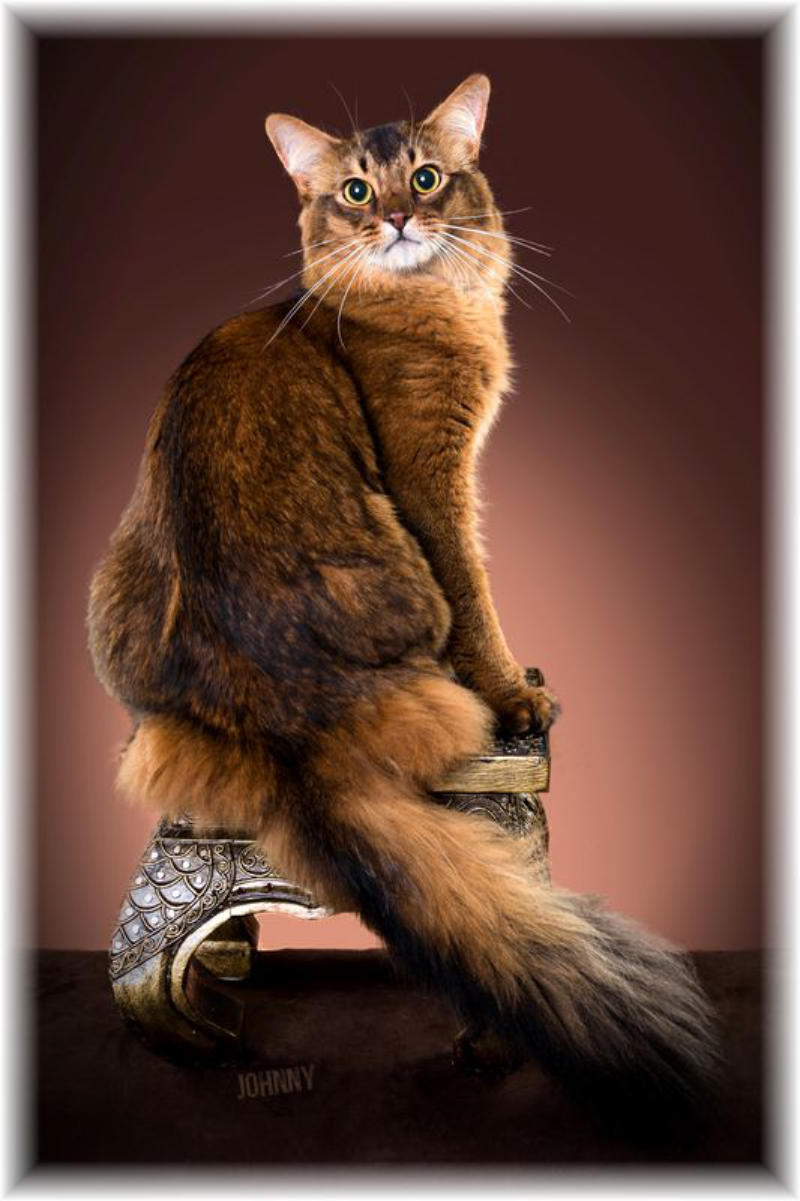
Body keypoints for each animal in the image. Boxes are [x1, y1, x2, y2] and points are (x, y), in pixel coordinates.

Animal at [87, 74, 720, 1119]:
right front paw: (514, 694)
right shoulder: (432, 475)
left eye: (425, 176)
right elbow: (479, 594)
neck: (428, 301)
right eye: (353, 190)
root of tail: (287, 730)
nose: (394, 216)